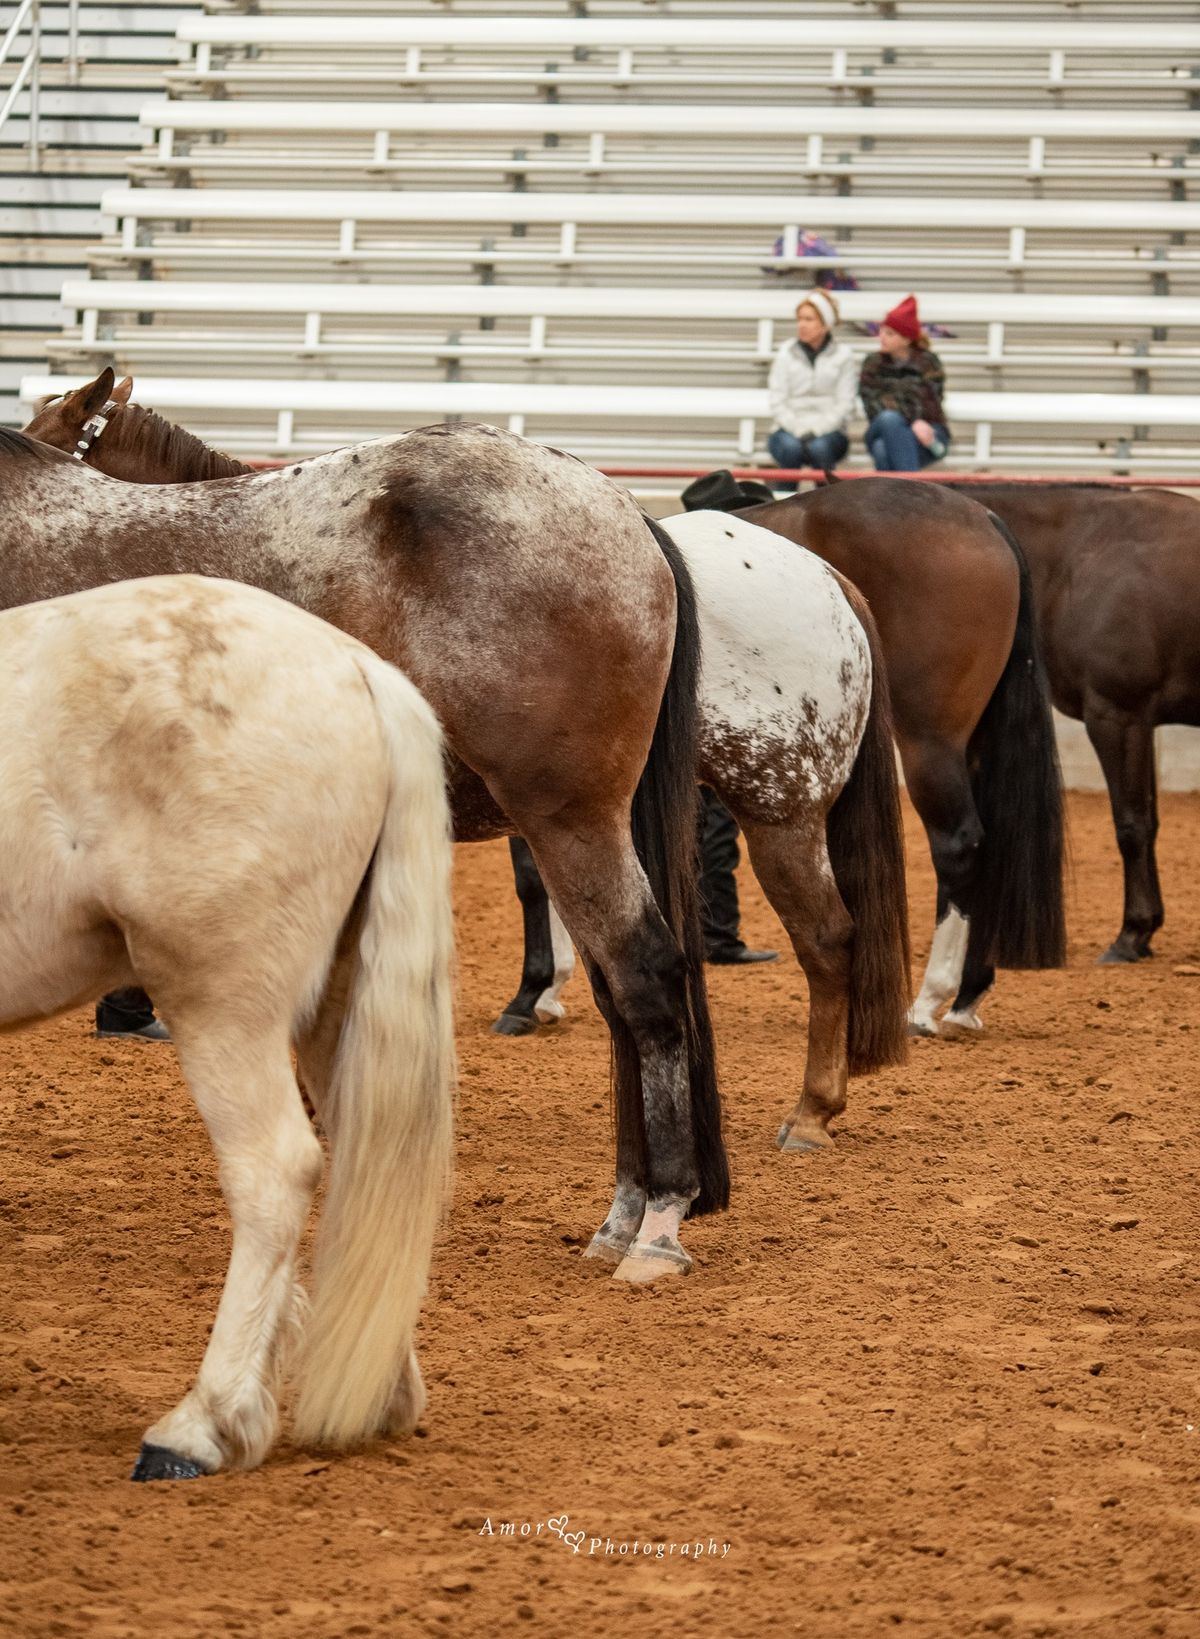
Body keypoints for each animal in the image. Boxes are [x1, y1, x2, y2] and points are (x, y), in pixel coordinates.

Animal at [937, 478, 1200, 963]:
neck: (1079, 554)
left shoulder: (1117, 717)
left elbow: (1132, 825)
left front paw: (1131, 934)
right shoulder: (1140, 722)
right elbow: (1149, 822)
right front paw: (1146, 929)